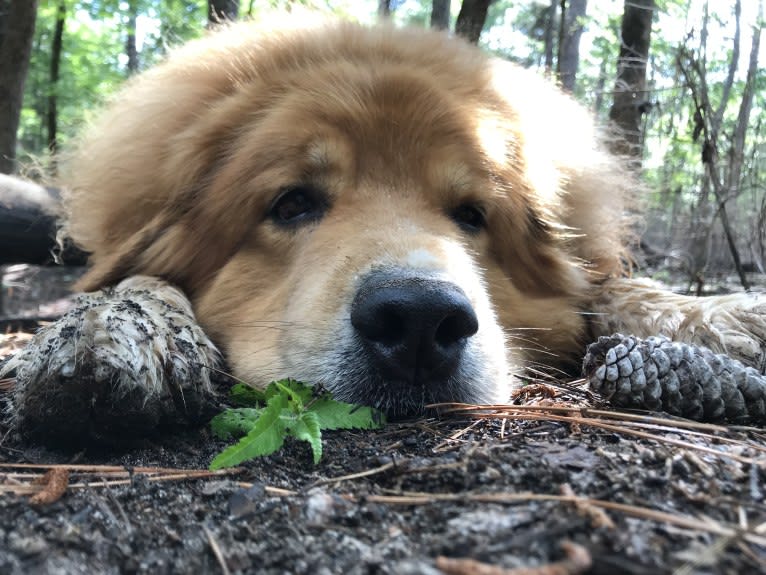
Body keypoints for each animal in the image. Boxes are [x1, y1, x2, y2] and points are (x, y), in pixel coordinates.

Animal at [1, 18, 766, 440]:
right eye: (292, 203)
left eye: (471, 215)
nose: (422, 320)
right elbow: (136, 276)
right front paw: (127, 326)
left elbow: (611, 287)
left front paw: (718, 316)